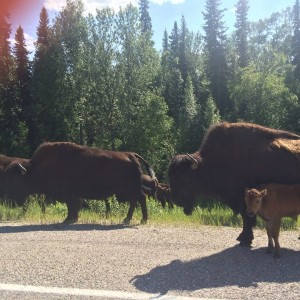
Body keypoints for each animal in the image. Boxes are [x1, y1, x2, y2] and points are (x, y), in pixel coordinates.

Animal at [5, 142, 156, 224]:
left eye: (15, 181)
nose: (8, 196)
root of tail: (131, 155)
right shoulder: (73, 195)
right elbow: (73, 207)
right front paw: (72, 219)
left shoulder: (69, 195)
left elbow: (71, 206)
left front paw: (67, 220)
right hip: (128, 191)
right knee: (135, 201)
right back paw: (128, 219)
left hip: (131, 189)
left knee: (140, 199)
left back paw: (141, 220)